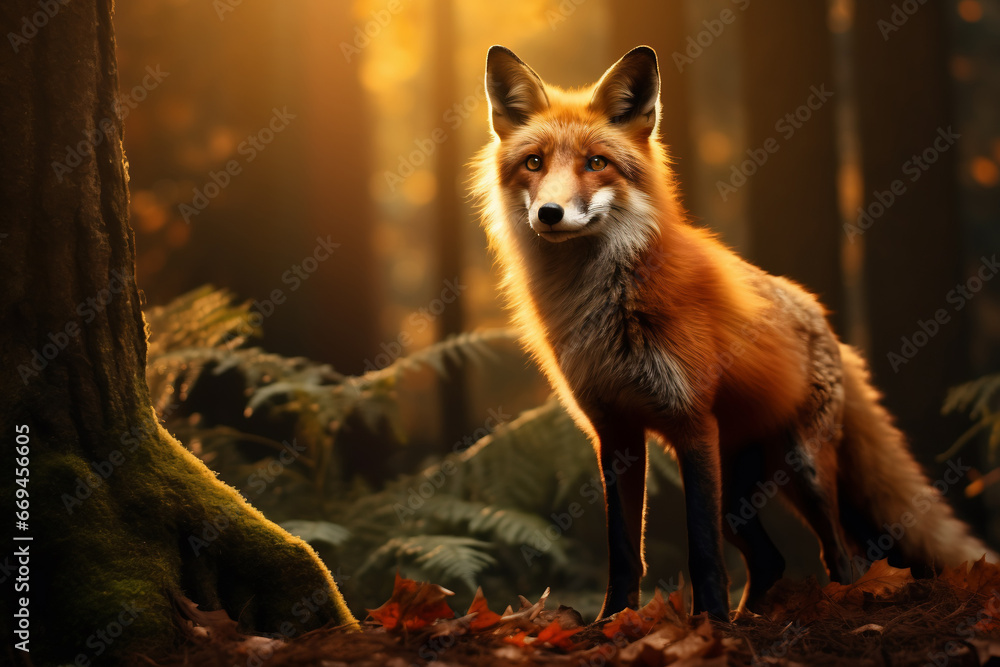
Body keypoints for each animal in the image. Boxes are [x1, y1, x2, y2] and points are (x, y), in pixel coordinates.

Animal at [472, 45, 995, 620]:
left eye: (596, 163)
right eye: (534, 163)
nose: (550, 213)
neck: (606, 306)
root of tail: (825, 321)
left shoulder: (691, 421)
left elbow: (701, 549)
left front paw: (709, 625)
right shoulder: (615, 433)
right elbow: (624, 551)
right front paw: (615, 622)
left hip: (802, 470)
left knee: (844, 557)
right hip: (738, 493)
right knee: (772, 561)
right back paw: (752, 618)